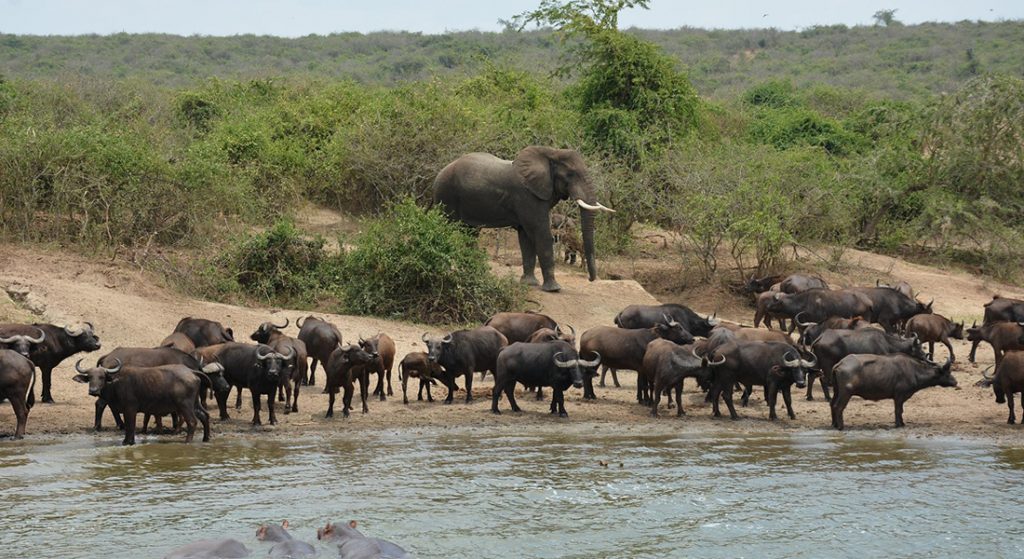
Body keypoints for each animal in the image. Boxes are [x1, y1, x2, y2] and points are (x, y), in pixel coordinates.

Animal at [434, 143, 614, 290]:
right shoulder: (527, 197)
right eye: (570, 174)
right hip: (446, 195)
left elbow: (526, 238)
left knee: (471, 233)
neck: (551, 152)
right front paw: (554, 289)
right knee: (445, 226)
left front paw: (529, 284)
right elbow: (541, 233)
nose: (590, 279)